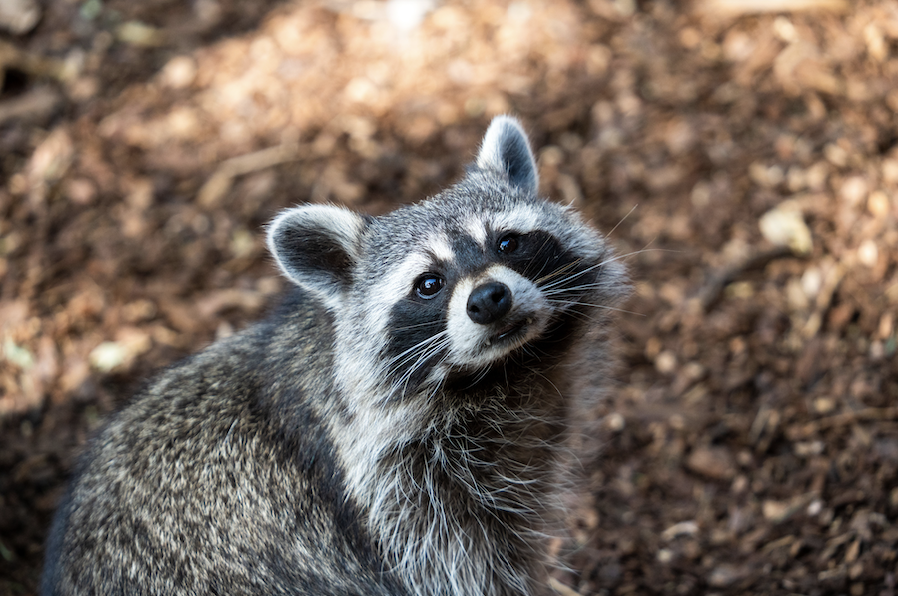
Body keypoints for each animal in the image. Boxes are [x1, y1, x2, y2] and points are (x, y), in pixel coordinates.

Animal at [42, 116, 628, 596]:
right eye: (429, 284)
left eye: (507, 243)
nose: (488, 299)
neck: (498, 375)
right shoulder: (399, 504)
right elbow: (470, 572)